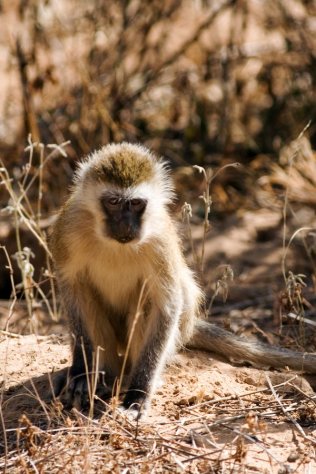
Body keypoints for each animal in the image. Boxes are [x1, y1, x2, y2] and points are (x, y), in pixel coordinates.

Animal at [50, 143, 316, 416]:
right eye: (113, 202)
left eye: (136, 203)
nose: (125, 226)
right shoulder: (69, 227)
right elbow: (74, 292)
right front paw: (81, 373)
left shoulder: (160, 238)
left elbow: (166, 305)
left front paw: (138, 394)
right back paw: (103, 374)